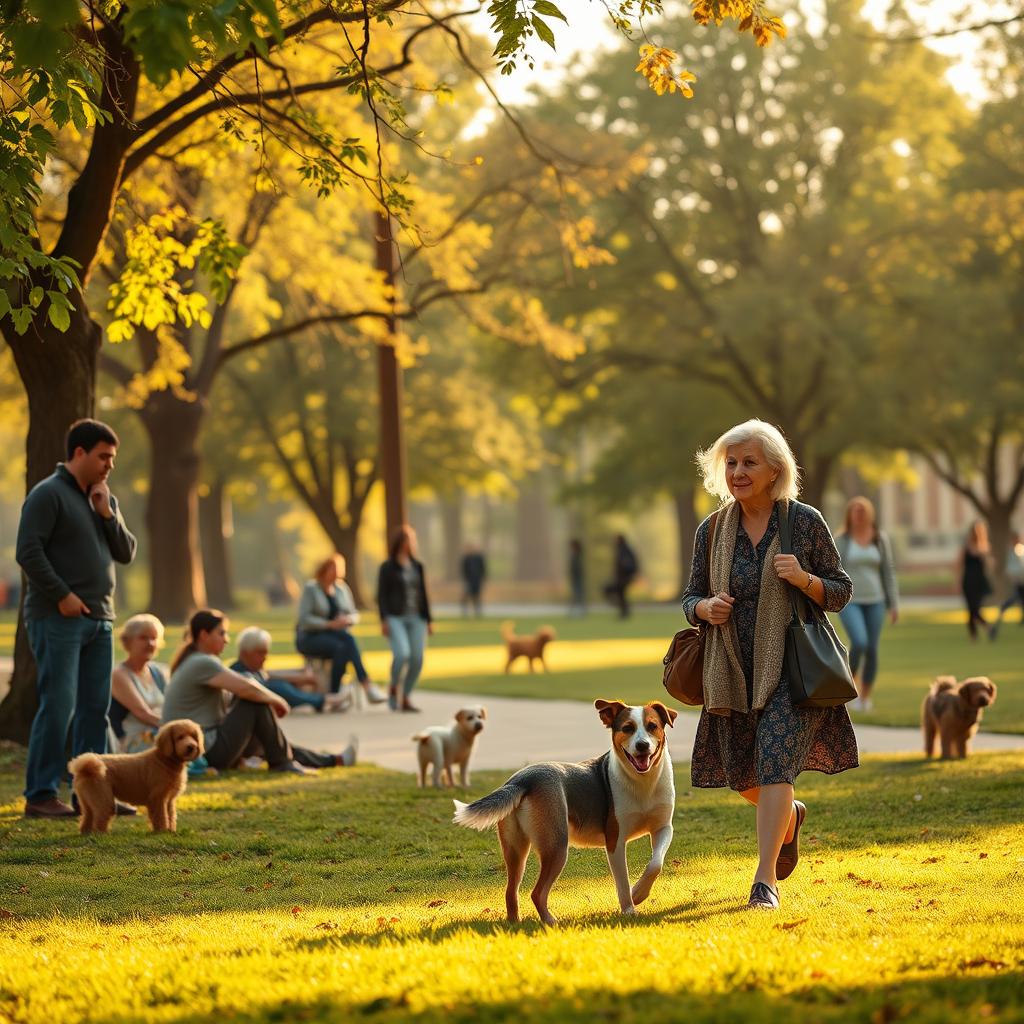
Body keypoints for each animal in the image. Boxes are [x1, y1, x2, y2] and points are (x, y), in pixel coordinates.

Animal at [68, 720, 203, 831]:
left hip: (87, 800)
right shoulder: (158, 798)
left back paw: (86, 832)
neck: (164, 760)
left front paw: (171, 831)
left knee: (87, 817)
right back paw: (100, 834)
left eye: (194, 737)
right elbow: (161, 816)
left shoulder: (169, 800)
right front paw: (162, 831)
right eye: (180, 737)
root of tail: (85, 767)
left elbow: (170, 814)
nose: (192, 747)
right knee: (100, 816)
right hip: (103, 798)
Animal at [452, 696, 675, 929]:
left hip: (516, 852)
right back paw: (550, 921)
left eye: (652, 726)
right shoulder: (615, 841)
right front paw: (630, 907)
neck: (642, 781)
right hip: (556, 846)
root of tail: (521, 780)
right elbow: (622, 882)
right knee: (537, 893)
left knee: (510, 892)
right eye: (627, 728)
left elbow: (655, 864)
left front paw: (639, 893)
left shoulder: (663, 829)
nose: (642, 745)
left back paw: (515, 924)